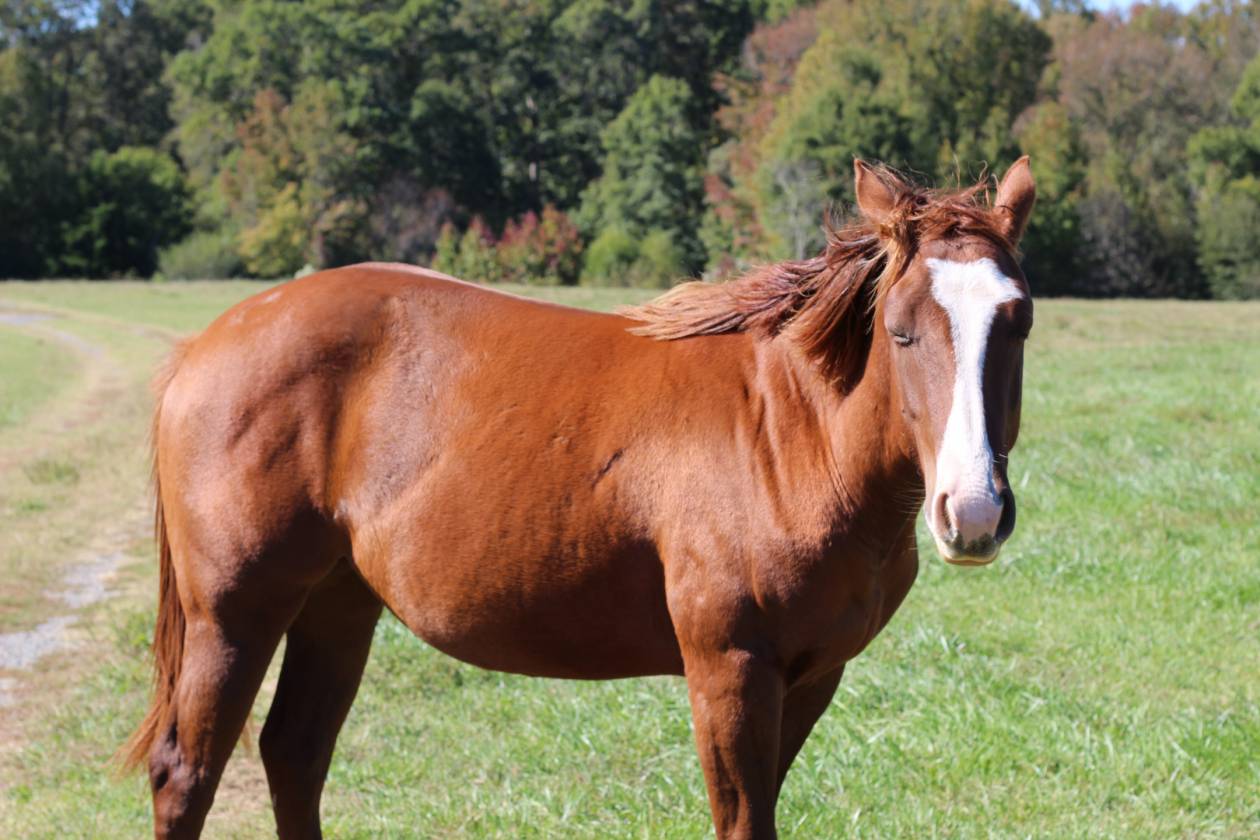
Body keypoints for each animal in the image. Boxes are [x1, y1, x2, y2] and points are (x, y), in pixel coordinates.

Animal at [121, 157, 1036, 839]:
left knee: (295, 756)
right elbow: (744, 824)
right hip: (233, 615)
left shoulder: (813, 676)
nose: (973, 511)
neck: (789, 433)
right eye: (900, 327)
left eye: (1018, 320)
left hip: (336, 607)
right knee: (187, 773)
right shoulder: (731, 671)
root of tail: (205, 345)